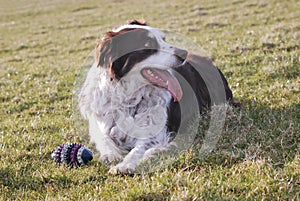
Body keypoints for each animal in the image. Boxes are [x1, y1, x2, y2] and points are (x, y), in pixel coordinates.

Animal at [78, 20, 237, 174]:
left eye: (163, 39)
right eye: (148, 45)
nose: (184, 53)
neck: (129, 97)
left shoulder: (155, 134)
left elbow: (138, 149)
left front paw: (125, 165)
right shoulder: (102, 122)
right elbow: (104, 138)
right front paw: (110, 155)